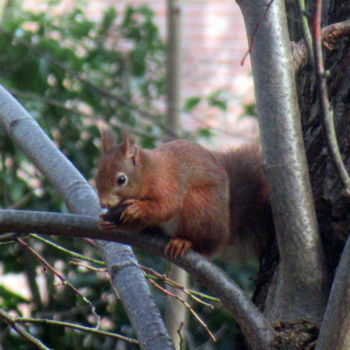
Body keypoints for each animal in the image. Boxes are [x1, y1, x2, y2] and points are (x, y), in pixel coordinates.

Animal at [95, 127, 270, 258]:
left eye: (121, 179)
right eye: (97, 175)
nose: (103, 203)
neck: (148, 173)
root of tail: (224, 234)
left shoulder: (168, 184)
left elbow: (167, 206)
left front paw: (138, 208)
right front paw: (107, 221)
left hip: (198, 206)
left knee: (200, 243)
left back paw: (183, 241)